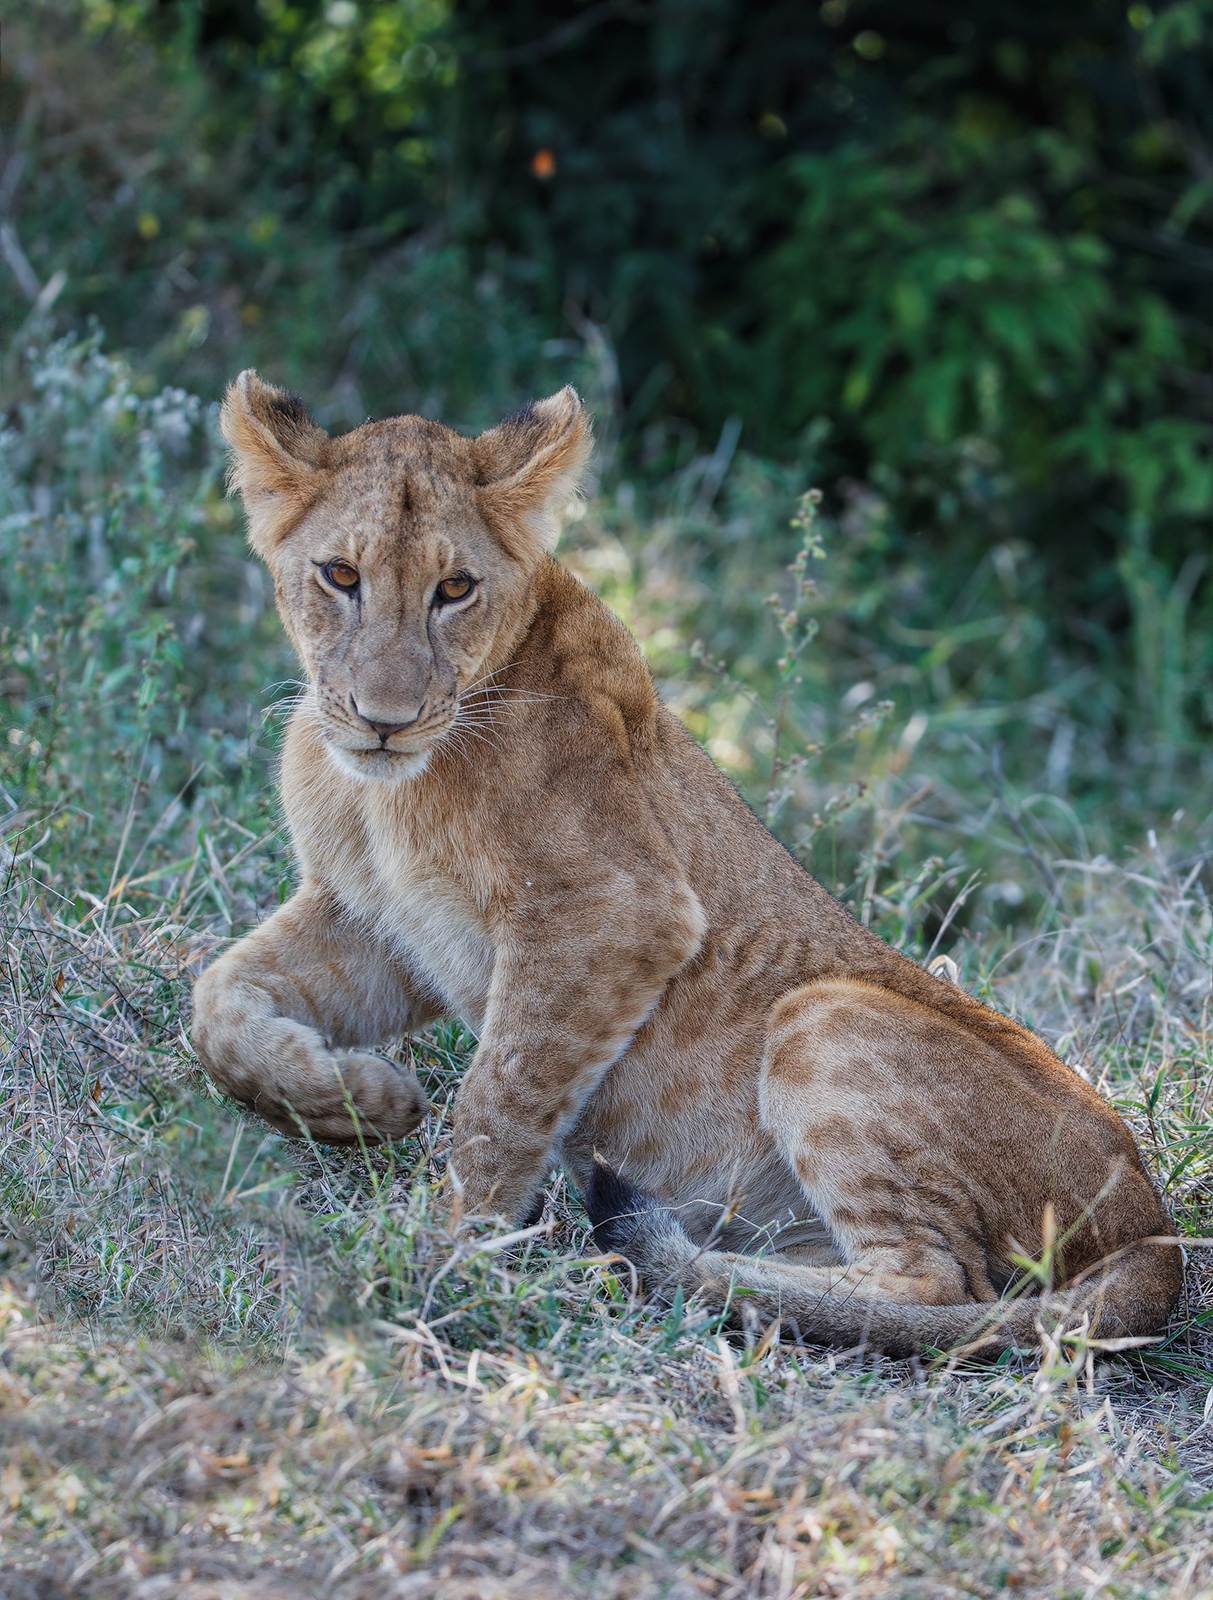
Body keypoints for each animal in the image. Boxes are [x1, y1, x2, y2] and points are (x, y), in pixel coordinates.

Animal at [191, 371, 1182, 1354]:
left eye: (455, 588)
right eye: (340, 576)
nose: (383, 720)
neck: (384, 792)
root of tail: (1153, 1232)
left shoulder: (615, 911)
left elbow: (498, 1099)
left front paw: (439, 1257)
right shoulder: (377, 922)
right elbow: (214, 1006)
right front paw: (360, 1103)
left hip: (825, 1014)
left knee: (941, 1288)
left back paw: (645, 1265)